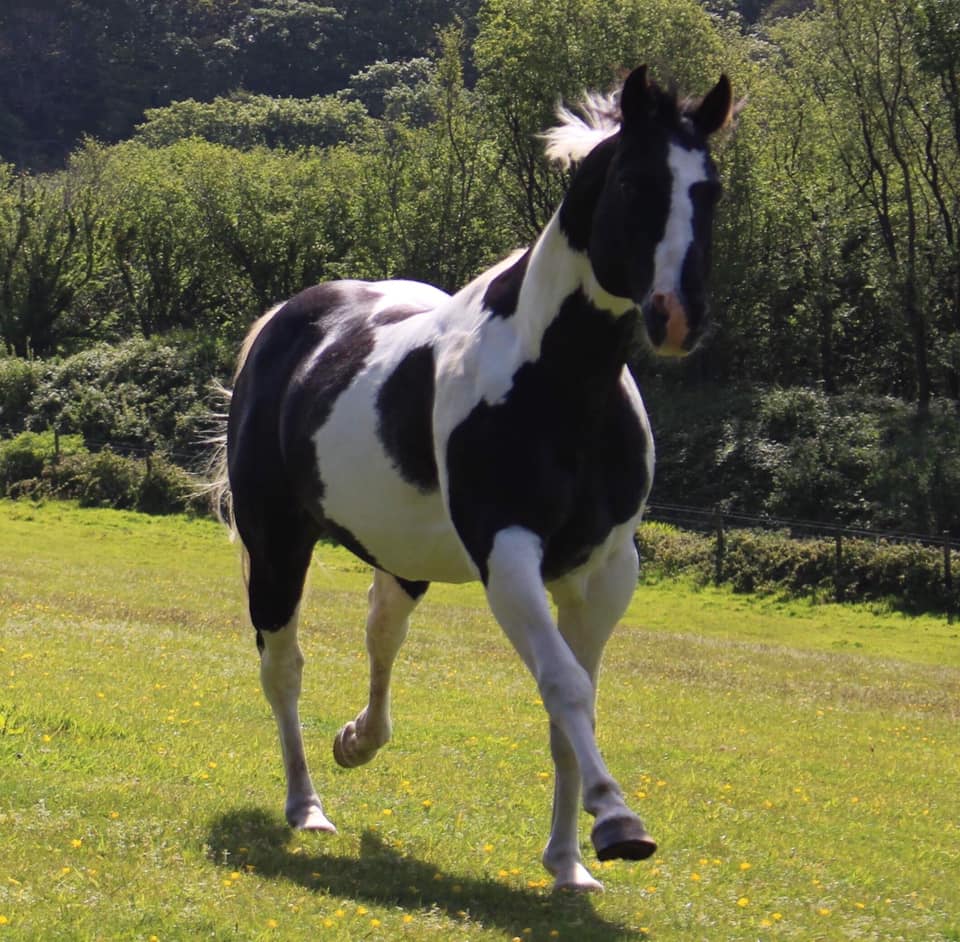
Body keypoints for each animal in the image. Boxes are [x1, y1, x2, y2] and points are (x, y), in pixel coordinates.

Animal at [212, 64, 736, 892]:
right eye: (633, 181)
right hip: (277, 547)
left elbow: (572, 708)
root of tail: (285, 323)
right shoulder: (508, 552)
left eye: (708, 188)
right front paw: (617, 822)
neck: (561, 381)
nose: (677, 316)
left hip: (403, 558)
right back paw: (307, 806)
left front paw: (568, 864)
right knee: (283, 668)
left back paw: (357, 741)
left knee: (380, 634)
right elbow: (564, 685)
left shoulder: (604, 570)